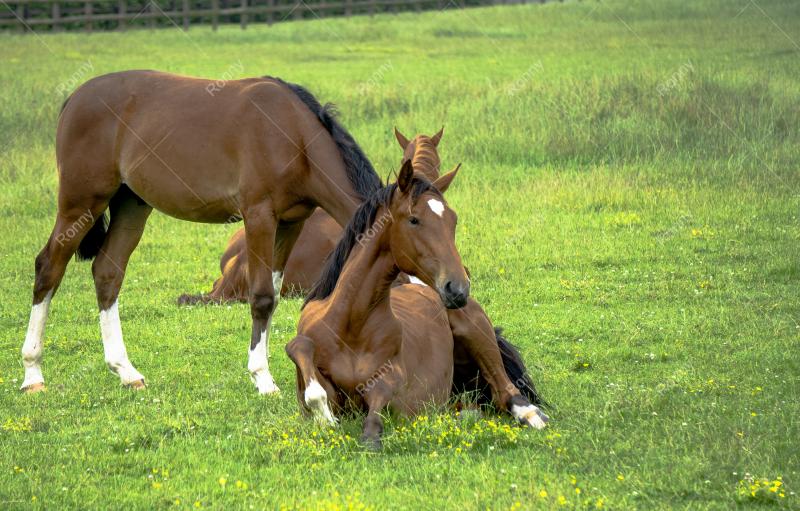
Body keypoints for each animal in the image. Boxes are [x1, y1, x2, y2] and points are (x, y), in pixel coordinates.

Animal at [20, 71, 382, 395]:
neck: (292, 134)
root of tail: (75, 98)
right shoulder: (259, 216)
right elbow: (262, 297)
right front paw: (263, 378)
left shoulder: (292, 223)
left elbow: (276, 295)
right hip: (80, 205)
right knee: (49, 268)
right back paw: (32, 374)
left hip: (131, 206)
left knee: (107, 272)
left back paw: (126, 371)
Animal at [285, 159, 549, 449]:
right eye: (414, 220)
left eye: (453, 220)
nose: (458, 288)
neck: (350, 327)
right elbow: (300, 350)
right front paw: (325, 417)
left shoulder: (396, 388)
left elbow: (377, 406)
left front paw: (366, 434)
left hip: (476, 330)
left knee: (505, 391)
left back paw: (530, 415)